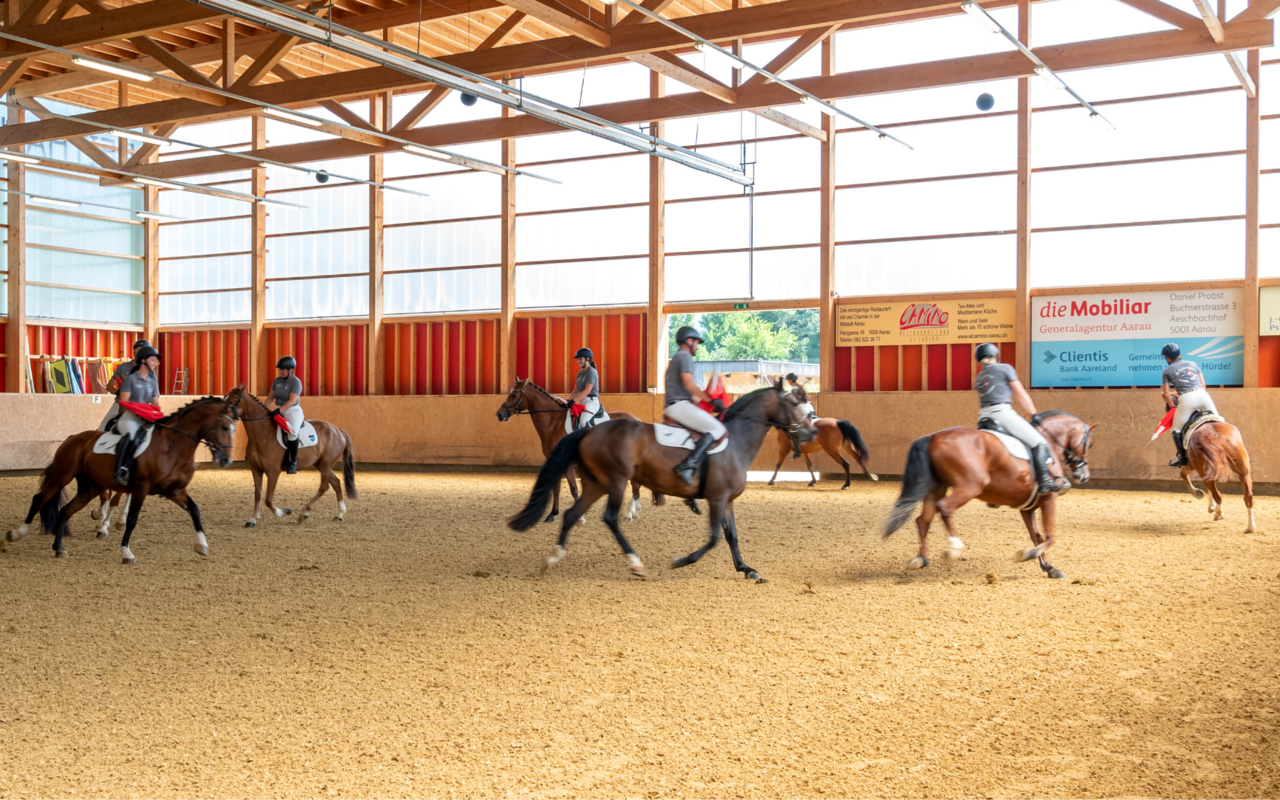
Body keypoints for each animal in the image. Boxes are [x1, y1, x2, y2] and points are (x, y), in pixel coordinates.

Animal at [5, 394, 239, 560]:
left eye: (234, 429)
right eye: (224, 427)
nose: (226, 460)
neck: (173, 446)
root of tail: (73, 438)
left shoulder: (174, 491)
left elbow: (195, 510)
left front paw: (201, 544)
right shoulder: (141, 488)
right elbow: (132, 520)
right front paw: (126, 552)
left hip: (90, 487)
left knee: (65, 511)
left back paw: (59, 548)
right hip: (62, 476)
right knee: (39, 499)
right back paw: (16, 534)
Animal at [227, 386, 358, 524]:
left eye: (230, 402)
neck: (262, 433)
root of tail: (338, 430)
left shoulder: (273, 471)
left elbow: (268, 499)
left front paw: (283, 512)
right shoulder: (256, 469)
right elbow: (258, 494)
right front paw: (253, 519)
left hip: (326, 464)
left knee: (324, 487)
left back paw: (304, 512)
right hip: (321, 464)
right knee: (336, 483)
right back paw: (339, 514)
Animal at [494, 376, 665, 522]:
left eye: (514, 396)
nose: (499, 414)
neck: (554, 422)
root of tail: (638, 421)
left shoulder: (568, 463)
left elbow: (574, 488)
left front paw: (580, 516)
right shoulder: (555, 462)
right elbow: (556, 487)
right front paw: (552, 514)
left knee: (635, 485)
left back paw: (630, 514)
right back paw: (634, 512)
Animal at [506, 381, 814, 581]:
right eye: (794, 402)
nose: (810, 431)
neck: (736, 440)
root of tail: (589, 431)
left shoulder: (726, 500)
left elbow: (731, 535)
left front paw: (746, 568)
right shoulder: (717, 499)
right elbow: (715, 537)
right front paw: (682, 561)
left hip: (598, 483)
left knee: (574, 514)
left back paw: (553, 557)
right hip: (615, 481)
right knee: (609, 518)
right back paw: (635, 563)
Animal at [880, 414, 1100, 576]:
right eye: (1089, 444)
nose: (1084, 475)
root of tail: (933, 436)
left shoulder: (1027, 508)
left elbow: (1036, 535)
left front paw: (1049, 567)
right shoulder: (1049, 500)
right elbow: (1050, 536)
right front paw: (1028, 554)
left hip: (937, 488)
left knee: (923, 520)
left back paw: (921, 559)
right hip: (969, 487)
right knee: (945, 508)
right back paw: (953, 548)